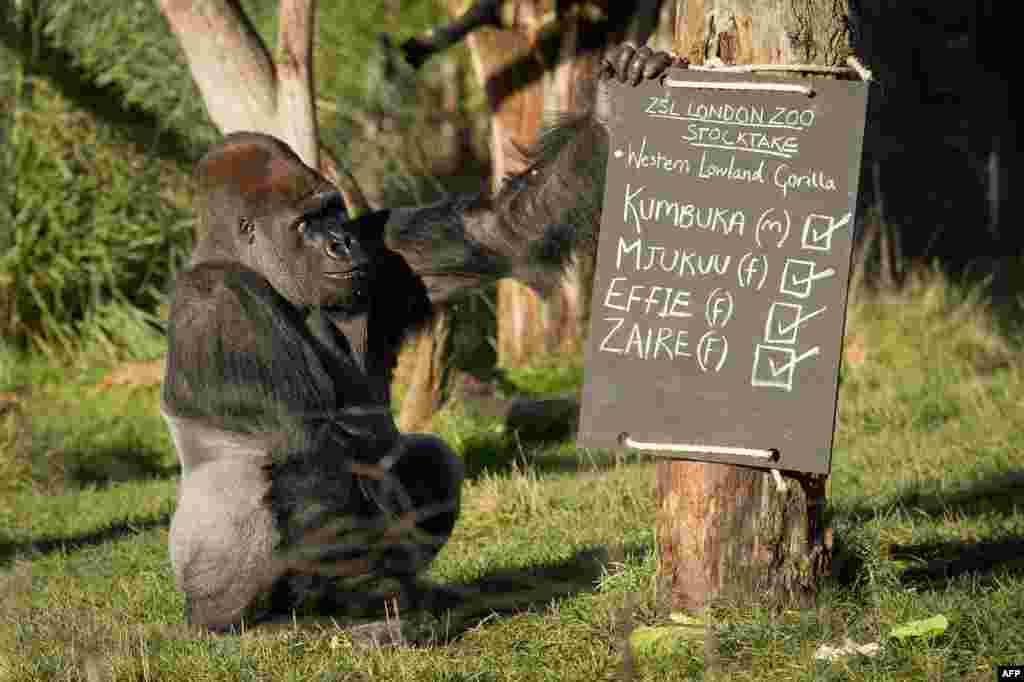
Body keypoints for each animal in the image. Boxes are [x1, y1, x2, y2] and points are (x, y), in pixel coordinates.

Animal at [163, 42, 684, 630]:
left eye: (332, 212)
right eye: (304, 224)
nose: (340, 243)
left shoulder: (377, 239)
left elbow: (497, 231)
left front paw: (608, 107)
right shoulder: (220, 302)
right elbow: (305, 453)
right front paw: (380, 603)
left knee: (426, 457)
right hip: (220, 601)